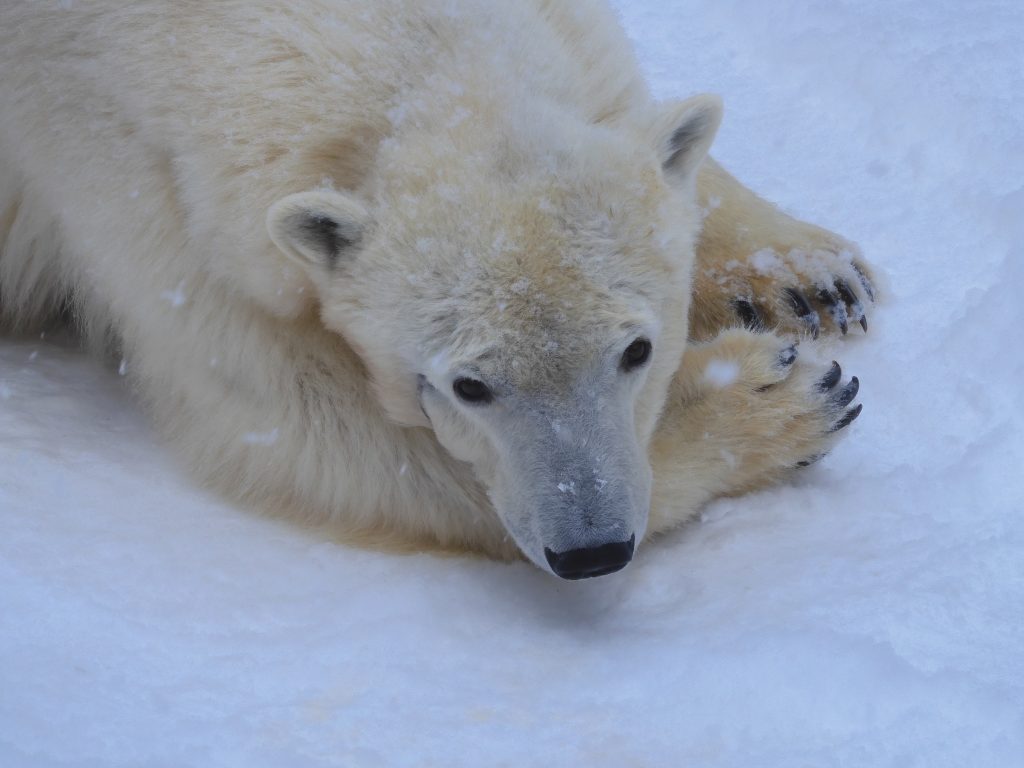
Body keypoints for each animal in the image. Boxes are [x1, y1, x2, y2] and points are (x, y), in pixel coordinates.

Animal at [0, 0, 872, 577]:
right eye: (468, 385)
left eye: (636, 350)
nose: (591, 549)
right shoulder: (128, 175)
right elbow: (305, 426)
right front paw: (773, 398)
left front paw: (804, 277)